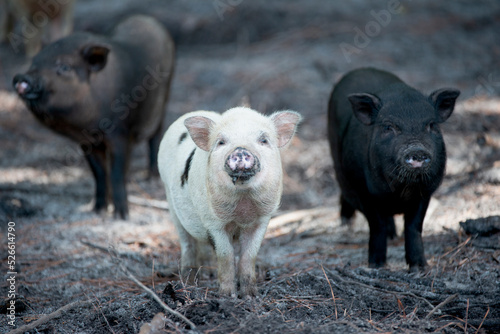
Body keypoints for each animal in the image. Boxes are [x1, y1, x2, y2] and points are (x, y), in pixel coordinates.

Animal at [12, 15, 176, 219]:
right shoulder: (86, 142)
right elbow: (99, 173)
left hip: (164, 98)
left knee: (156, 135)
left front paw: (121, 216)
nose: (21, 77)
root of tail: (147, 19)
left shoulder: (121, 133)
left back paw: (151, 175)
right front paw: (98, 210)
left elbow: (117, 173)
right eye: (34, 62)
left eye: (64, 67)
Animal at [158, 107, 302, 298]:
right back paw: (188, 281)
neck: (243, 205)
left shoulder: (263, 219)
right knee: (187, 241)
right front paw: (227, 296)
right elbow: (226, 255)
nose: (240, 150)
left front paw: (250, 296)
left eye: (263, 140)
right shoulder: (214, 222)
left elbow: (249, 255)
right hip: (170, 200)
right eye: (221, 142)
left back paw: (207, 274)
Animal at [328, 68, 460, 272]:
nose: (417, 150)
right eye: (389, 127)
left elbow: (414, 227)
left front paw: (420, 267)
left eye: (431, 125)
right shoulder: (364, 191)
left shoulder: (426, 192)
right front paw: (377, 266)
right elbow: (377, 225)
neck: (399, 193)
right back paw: (345, 224)